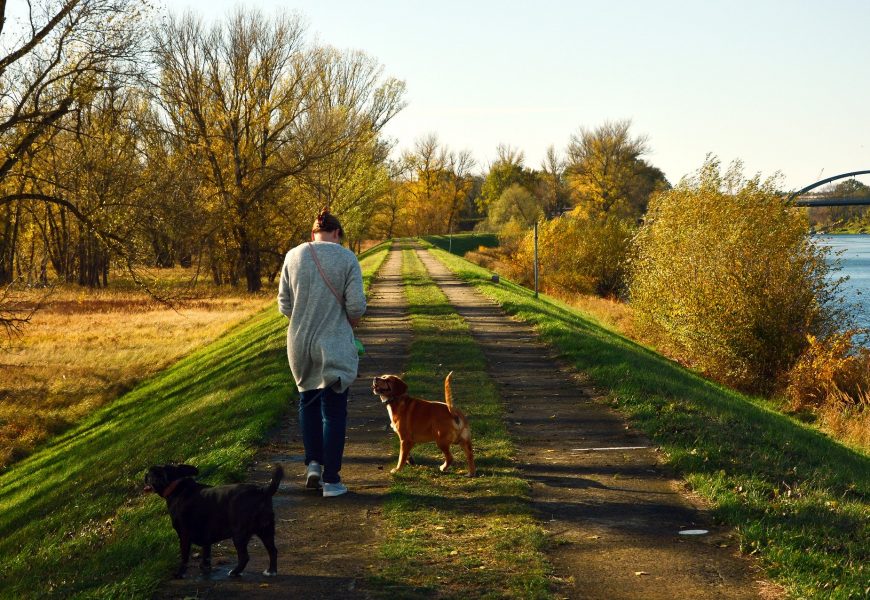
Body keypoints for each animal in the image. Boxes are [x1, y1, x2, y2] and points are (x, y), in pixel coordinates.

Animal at [145, 464, 284, 576]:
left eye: (151, 473)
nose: (145, 474)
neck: (176, 486)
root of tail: (262, 491)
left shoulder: (184, 536)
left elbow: (184, 557)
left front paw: (180, 573)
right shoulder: (206, 535)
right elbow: (206, 553)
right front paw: (205, 567)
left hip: (239, 534)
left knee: (245, 557)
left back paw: (235, 572)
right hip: (266, 530)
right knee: (273, 551)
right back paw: (271, 571)